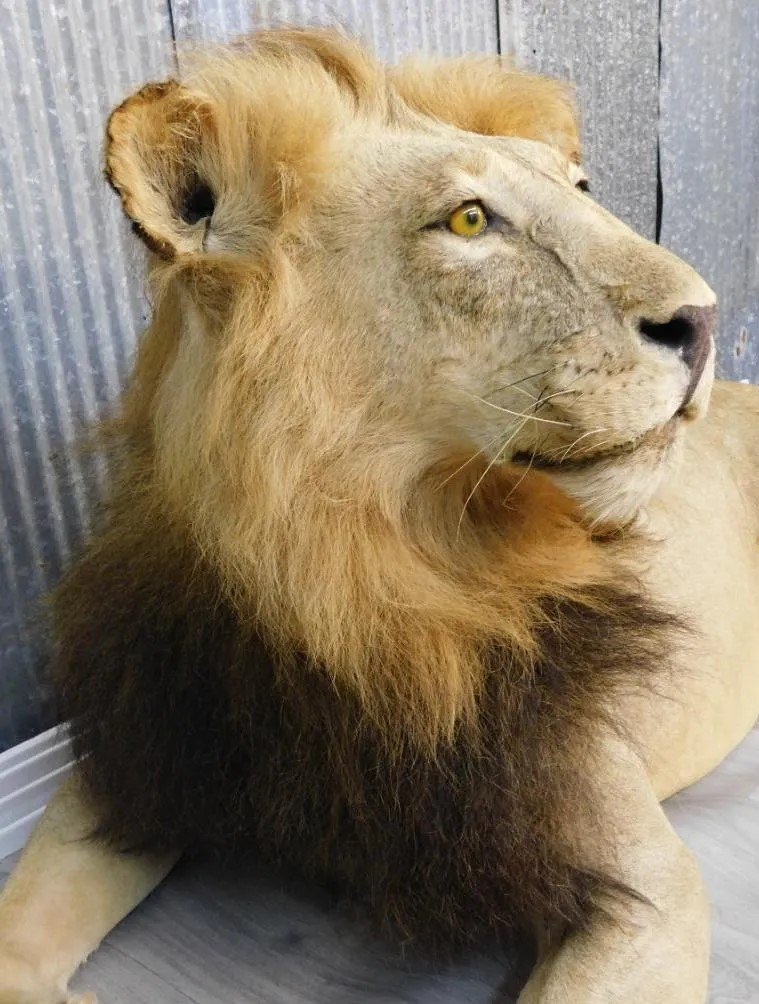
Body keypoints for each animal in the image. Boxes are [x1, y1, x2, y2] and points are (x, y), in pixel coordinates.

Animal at [1, 27, 758, 1004]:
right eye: (469, 221)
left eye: (582, 190)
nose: (704, 317)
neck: (345, 574)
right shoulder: (136, 757)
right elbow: (19, 931)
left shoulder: (647, 889)